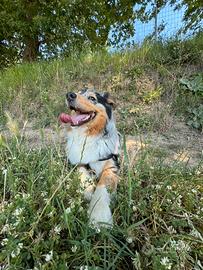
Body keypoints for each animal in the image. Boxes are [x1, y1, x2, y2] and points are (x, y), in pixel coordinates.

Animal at [59, 87, 120, 227]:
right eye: (78, 92)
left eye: (92, 98)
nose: (69, 95)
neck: (87, 135)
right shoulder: (78, 161)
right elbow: (82, 172)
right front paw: (88, 190)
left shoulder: (111, 165)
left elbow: (102, 185)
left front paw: (99, 217)